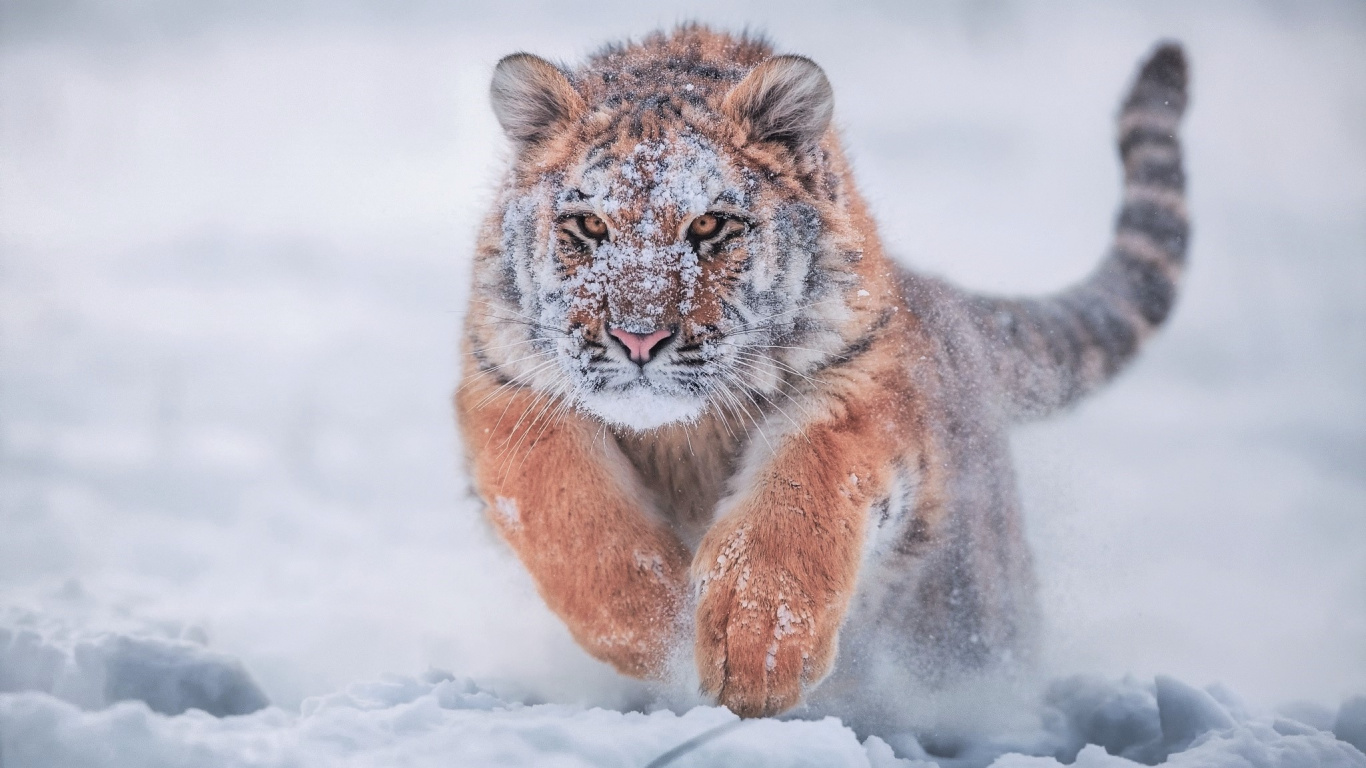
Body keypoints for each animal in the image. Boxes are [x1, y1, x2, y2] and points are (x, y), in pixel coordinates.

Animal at [454, 25, 1189, 721]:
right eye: (588, 225)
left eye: (710, 225)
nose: (640, 337)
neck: (682, 435)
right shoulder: (507, 387)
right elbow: (568, 510)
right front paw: (657, 628)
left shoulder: (857, 384)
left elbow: (799, 495)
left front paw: (757, 652)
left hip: (976, 612)